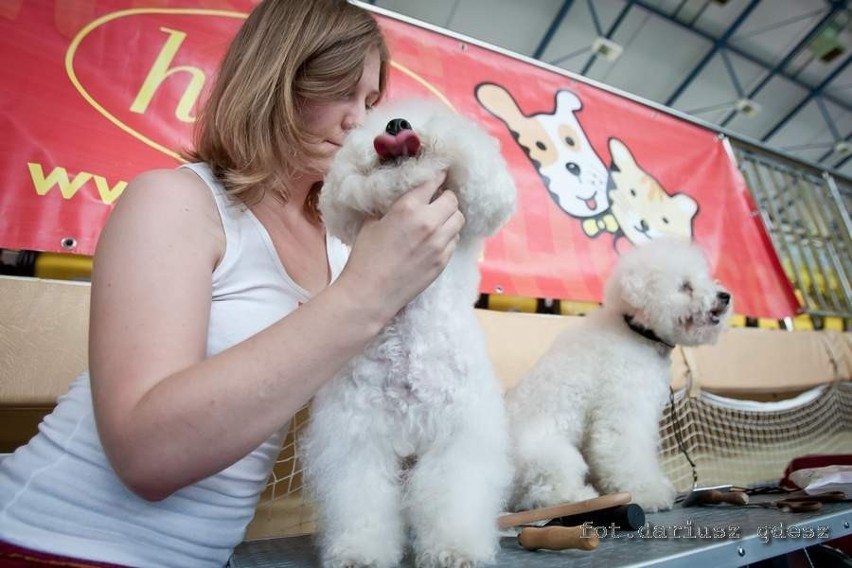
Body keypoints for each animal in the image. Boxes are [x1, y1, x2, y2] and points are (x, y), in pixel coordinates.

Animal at [302, 98, 516, 568]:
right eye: (365, 126)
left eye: (437, 119)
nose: (397, 124)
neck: (411, 332)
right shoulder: (359, 436)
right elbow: (362, 501)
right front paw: (360, 553)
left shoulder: (457, 436)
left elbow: (453, 494)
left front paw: (455, 550)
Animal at [506, 237, 732, 512]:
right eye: (685, 286)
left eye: (705, 278)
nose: (725, 296)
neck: (636, 333)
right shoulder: (622, 409)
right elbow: (624, 452)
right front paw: (647, 493)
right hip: (552, 455)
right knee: (543, 494)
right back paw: (582, 497)